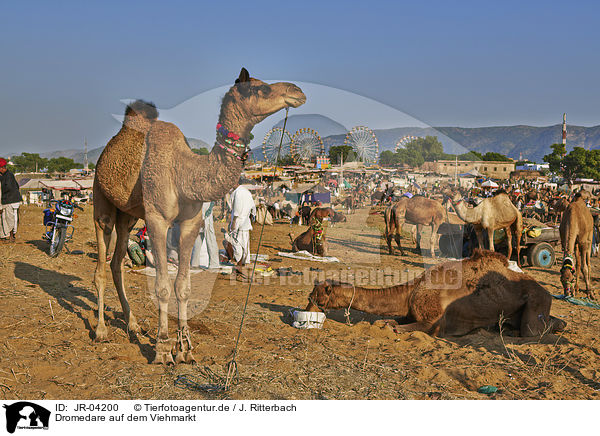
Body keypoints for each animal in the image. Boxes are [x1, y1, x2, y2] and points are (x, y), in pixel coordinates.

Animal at [95, 67, 308, 364]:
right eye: (261, 89)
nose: (298, 91)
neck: (184, 172)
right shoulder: (157, 220)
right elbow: (162, 285)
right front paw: (163, 348)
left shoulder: (189, 223)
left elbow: (182, 287)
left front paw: (185, 348)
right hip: (101, 200)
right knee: (101, 266)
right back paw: (101, 331)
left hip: (128, 215)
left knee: (116, 263)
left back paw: (134, 325)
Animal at [308, 249, 564, 338]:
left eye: (319, 294)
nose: (309, 303)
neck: (411, 291)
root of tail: (547, 292)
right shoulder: (409, 312)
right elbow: (390, 320)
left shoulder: (433, 320)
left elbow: (398, 327)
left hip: (536, 302)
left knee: (533, 331)